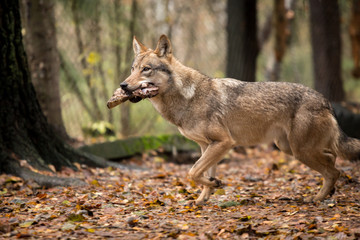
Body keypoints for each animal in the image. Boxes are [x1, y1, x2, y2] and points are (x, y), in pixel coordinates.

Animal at [115, 34, 360, 205]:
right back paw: (328, 193)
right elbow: (202, 173)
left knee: (333, 170)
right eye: (133, 69)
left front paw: (212, 186)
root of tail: (326, 100)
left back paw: (317, 198)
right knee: (332, 160)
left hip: (300, 151)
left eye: (146, 70)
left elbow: (192, 172)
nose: (123, 85)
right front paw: (205, 196)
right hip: (290, 147)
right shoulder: (207, 146)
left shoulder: (224, 142)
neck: (187, 96)